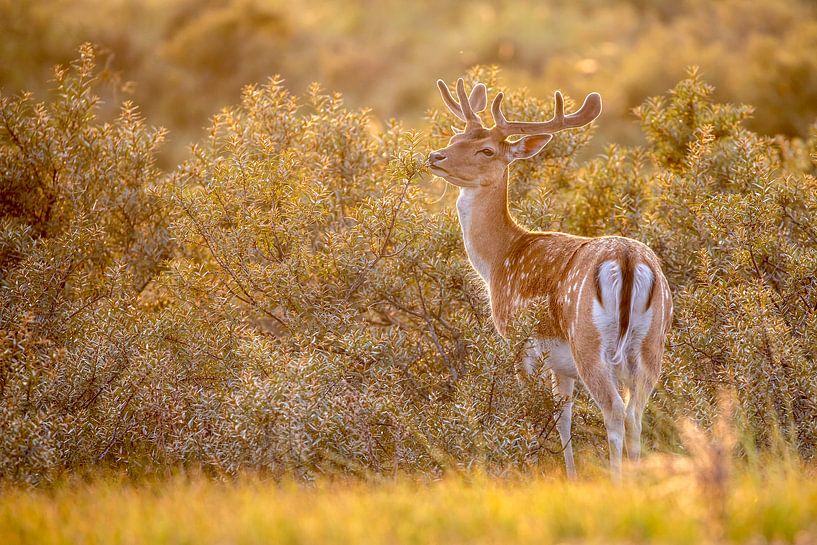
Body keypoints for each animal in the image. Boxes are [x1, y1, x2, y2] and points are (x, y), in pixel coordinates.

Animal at [428, 78, 672, 480]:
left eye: (487, 150)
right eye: (455, 136)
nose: (436, 156)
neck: (499, 259)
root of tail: (628, 260)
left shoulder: (518, 341)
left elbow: (532, 412)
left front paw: (531, 469)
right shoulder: (561, 365)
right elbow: (563, 417)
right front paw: (570, 476)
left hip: (588, 342)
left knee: (615, 412)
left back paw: (618, 480)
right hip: (652, 344)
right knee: (637, 413)